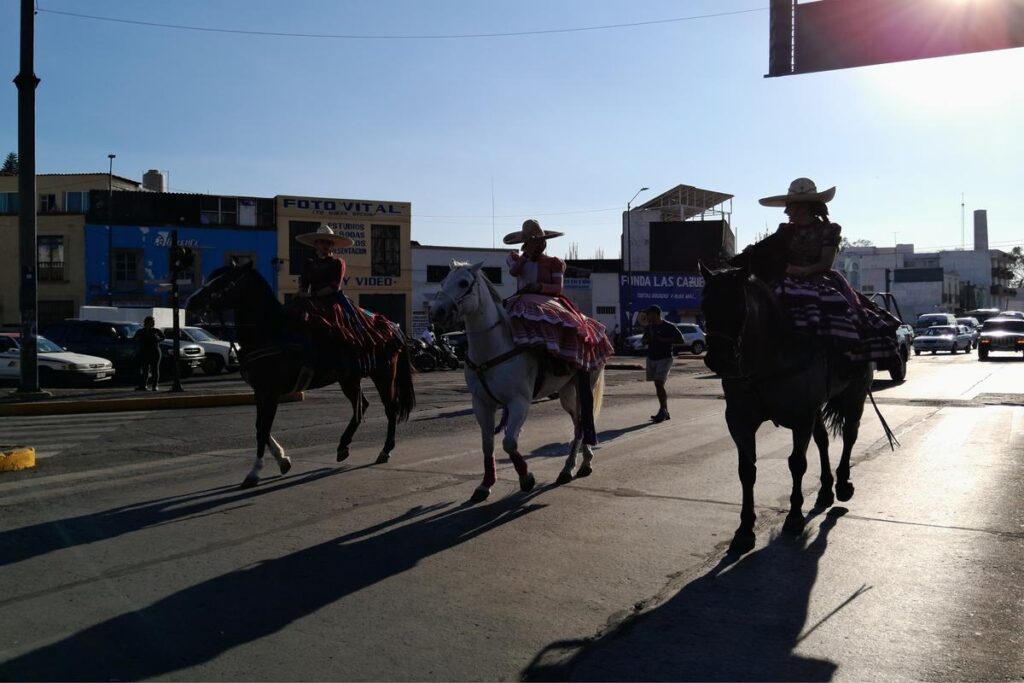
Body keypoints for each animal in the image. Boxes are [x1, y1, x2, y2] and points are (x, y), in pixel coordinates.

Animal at [188, 259, 415, 489]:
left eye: (223, 281)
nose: (191, 302)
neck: (270, 331)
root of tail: (392, 326)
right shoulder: (261, 392)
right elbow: (260, 427)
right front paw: (282, 460)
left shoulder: (270, 392)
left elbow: (263, 429)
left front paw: (255, 472)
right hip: (349, 378)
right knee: (362, 406)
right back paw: (343, 446)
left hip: (384, 375)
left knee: (389, 410)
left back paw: (385, 450)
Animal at [430, 262, 602, 501]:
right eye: (443, 281)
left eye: (464, 282)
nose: (436, 311)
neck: (492, 349)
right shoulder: (481, 403)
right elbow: (488, 444)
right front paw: (485, 485)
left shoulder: (519, 402)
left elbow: (510, 443)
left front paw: (526, 478)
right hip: (566, 392)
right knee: (579, 423)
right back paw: (579, 464)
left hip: (584, 386)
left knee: (582, 423)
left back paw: (572, 468)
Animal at [700, 262, 892, 557]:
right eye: (705, 305)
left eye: (739, 305)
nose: (719, 359)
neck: (768, 359)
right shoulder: (739, 420)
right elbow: (746, 470)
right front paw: (744, 530)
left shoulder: (801, 417)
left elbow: (797, 463)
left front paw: (794, 516)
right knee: (823, 441)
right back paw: (825, 490)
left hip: (855, 395)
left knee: (850, 435)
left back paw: (842, 484)